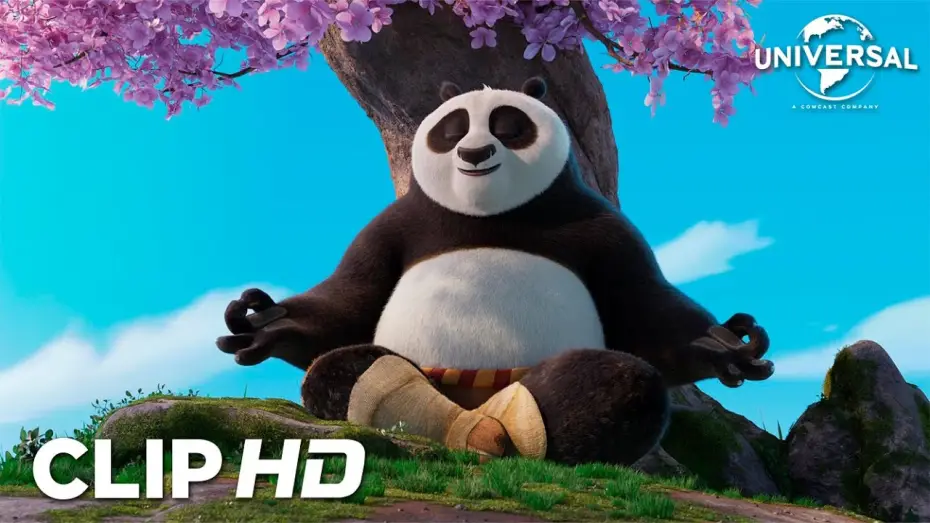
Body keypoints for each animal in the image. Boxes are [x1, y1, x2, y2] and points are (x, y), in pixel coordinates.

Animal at [217, 77, 774, 466]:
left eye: (510, 126)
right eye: (451, 130)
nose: (474, 152)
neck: (488, 215)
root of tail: (478, 399)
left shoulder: (605, 230)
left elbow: (646, 311)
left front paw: (727, 344)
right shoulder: (392, 227)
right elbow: (348, 299)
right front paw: (262, 321)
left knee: (619, 383)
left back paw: (506, 434)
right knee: (346, 369)